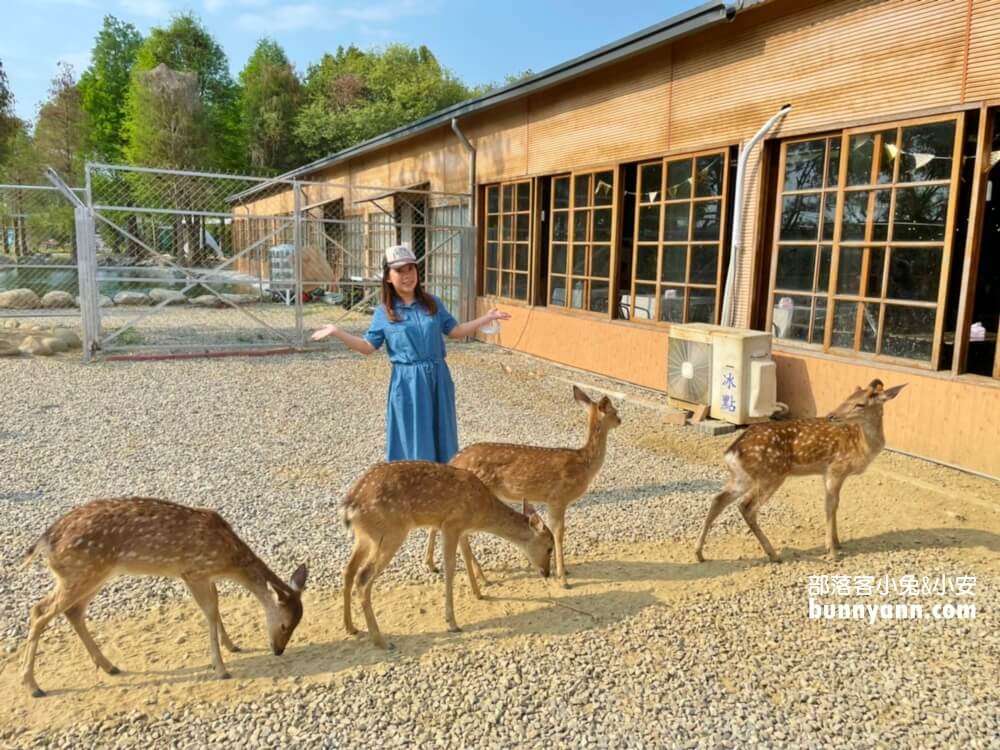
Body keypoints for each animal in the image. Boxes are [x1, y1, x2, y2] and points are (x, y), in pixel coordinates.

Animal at [18, 500, 308, 700]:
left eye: (297, 624)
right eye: (285, 625)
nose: (278, 650)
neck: (227, 561)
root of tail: (44, 542)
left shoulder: (206, 576)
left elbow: (216, 608)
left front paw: (232, 645)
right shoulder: (193, 571)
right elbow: (210, 612)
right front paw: (221, 669)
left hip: (93, 573)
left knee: (73, 611)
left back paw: (109, 666)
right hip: (79, 572)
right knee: (39, 611)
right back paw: (33, 686)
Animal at [340, 462, 552, 648]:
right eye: (550, 547)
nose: (547, 572)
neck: (483, 513)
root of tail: (350, 505)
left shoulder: (462, 530)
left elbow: (466, 556)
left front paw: (479, 593)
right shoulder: (451, 524)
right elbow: (450, 569)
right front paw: (452, 623)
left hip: (366, 537)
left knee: (349, 570)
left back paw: (351, 627)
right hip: (391, 533)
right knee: (363, 577)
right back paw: (381, 642)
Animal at [696, 382, 908, 564]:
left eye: (859, 403)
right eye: (847, 398)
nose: (831, 415)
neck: (862, 446)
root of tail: (732, 451)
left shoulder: (827, 472)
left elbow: (835, 505)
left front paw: (838, 543)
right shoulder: (836, 468)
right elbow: (830, 506)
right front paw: (832, 551)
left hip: (742, 476)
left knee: (718, 499)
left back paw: (699, 554)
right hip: (771, 474)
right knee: (746, 506)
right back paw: (773, 554)